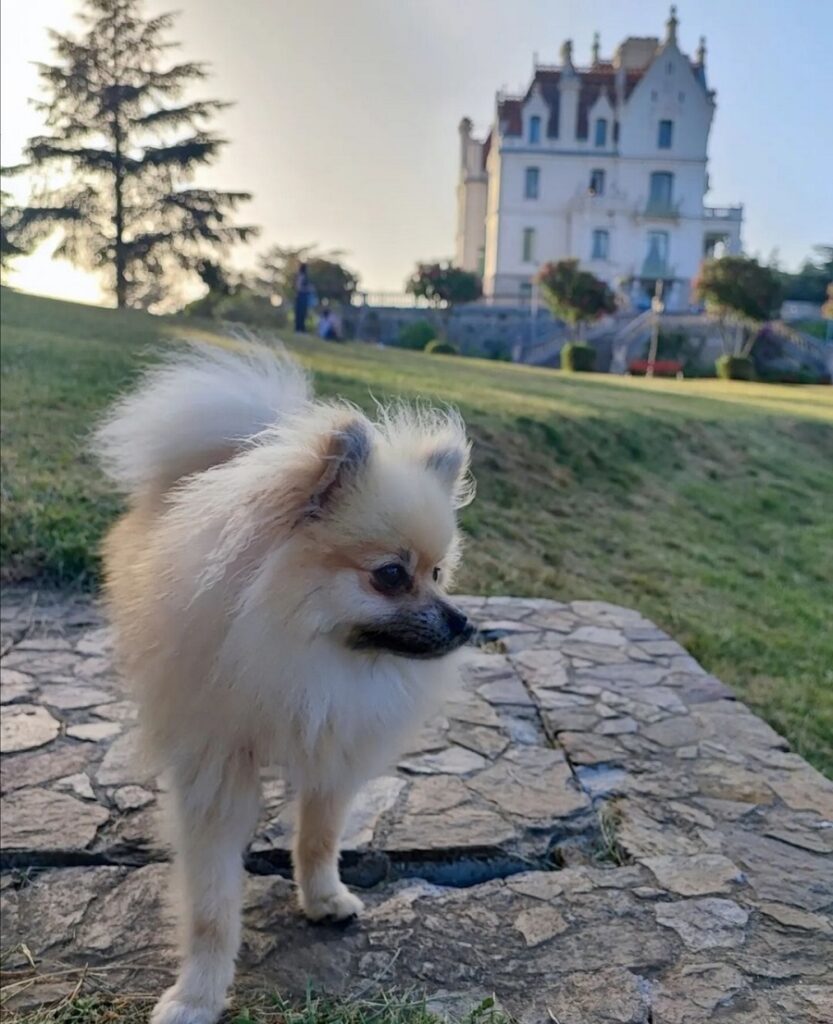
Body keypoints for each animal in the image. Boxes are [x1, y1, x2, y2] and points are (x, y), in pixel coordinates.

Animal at [95, 344, 475, 1024]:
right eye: (390, 575)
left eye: (438, 573)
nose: (465, 623)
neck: (303, 657)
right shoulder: (215, 771)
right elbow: (212, 904)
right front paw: (197, 994)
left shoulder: (335, 747)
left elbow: (320, 837)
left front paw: (323, 897)